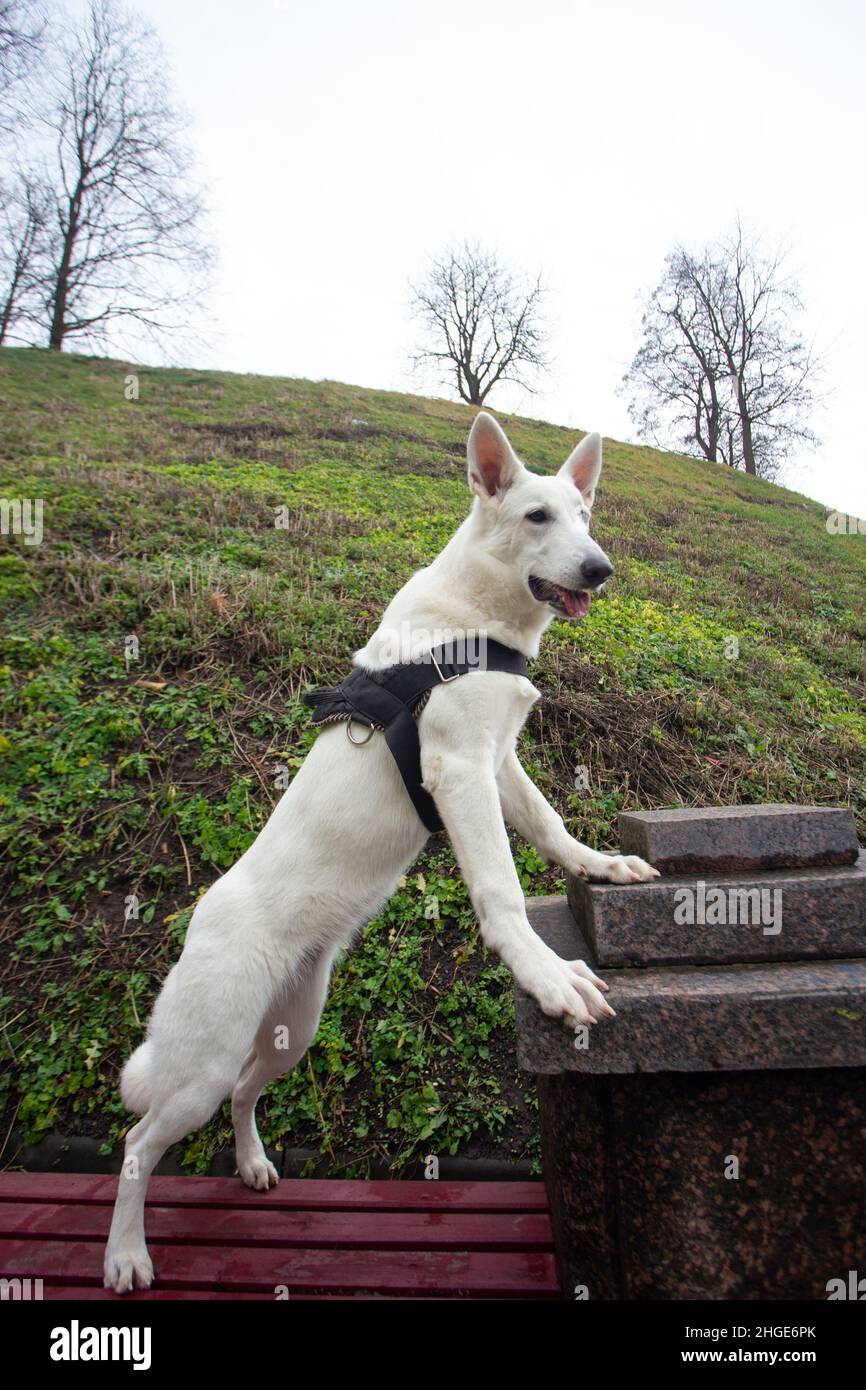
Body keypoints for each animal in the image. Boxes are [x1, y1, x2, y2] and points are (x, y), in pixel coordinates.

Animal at [103, 408, 656, 1289]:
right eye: (537, 517)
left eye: (584, 515)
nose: (600, 569)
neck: (478, 618)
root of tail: (200, 919)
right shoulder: (459, 772)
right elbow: (501, 892)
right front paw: (545, 976)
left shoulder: (501, 764)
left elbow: (551, 827)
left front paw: (601, 866)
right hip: (200, 1066)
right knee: (137, 1142)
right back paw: (126, 1252)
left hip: (291, 1033)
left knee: (245, 1096)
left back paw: (252, 1164)